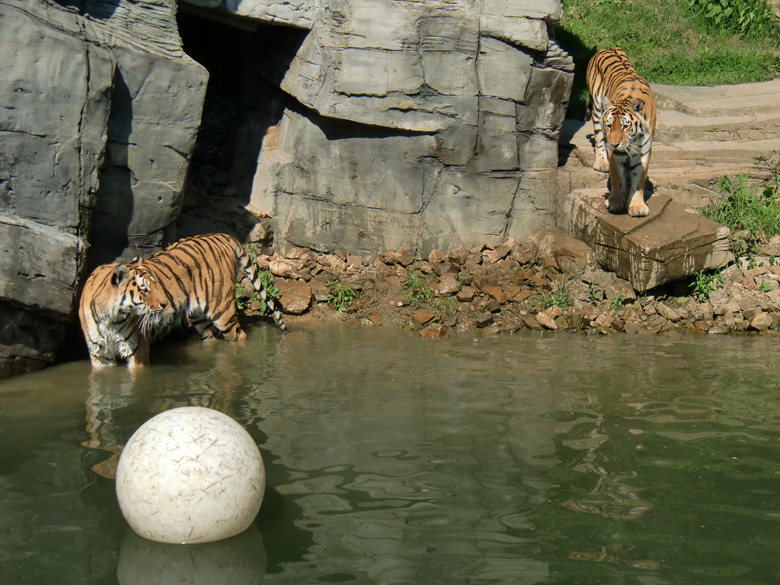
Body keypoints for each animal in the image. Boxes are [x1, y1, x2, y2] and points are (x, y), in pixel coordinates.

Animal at [79, 232, 288, 364]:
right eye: (144, 289)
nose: (164, 304)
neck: (111, 318)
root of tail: (222, 235)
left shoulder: (138, 349)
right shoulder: (100, 357)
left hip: (222, 310)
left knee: (238, 335)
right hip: (199, 316)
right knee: (209, 336)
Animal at [588, 47, 656, 217]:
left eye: (625, 126)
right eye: (609, 125)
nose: (614, 144)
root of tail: (608, 47)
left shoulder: (643, 150)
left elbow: (639, 180)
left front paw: (637, 207)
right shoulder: (615, 153)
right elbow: (617, 177)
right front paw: (615, 201)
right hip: (597, 110)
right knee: (599, 140)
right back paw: (601, 163)